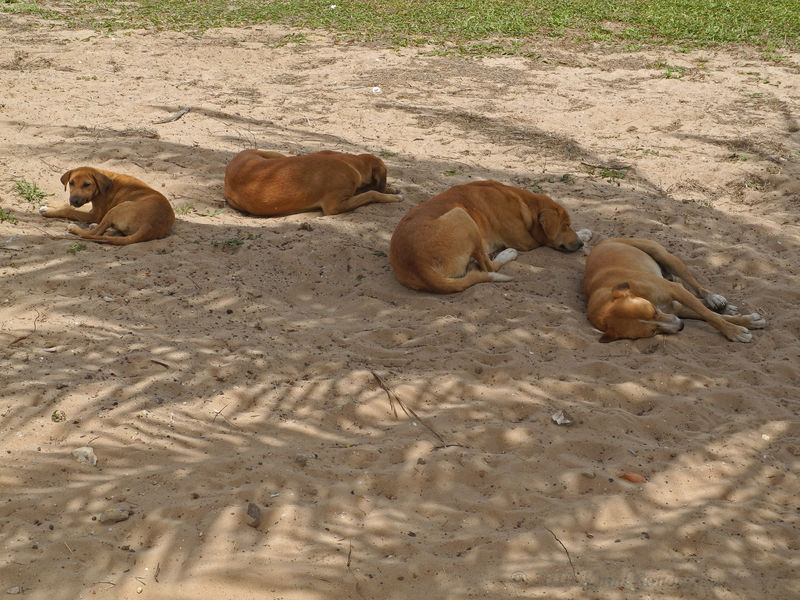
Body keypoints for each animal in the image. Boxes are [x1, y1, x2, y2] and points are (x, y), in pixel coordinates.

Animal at [40, 166, 175, 244]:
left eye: (87, 184)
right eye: (71, 183)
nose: (74, 200)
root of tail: (150, 226)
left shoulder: (95, 214)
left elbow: (69, 211)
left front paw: (48, 211)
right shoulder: (93, 209)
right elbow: (67, 206)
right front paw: (50, 203)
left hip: (119, 208)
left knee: (93, 233)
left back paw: (75, 228)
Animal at [223, 149, 400, 217]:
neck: (350, 163)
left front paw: (392, 190)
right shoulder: (334, 206)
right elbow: (372, 193)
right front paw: (394, 197)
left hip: (278, 156)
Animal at [390, 179, 592, 294]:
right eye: (566, 225)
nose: (580, 244)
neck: (525, 202)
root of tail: (417, 263)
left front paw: (585, 234)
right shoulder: (527, 242)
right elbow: (544, 241)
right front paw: (584, 233)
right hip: (462, 216)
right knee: (488, 266)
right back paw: (507, 254)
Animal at [584, 238, 764, 342]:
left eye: (654, 311)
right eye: (652, 331)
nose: (681, 325)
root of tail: (602, 241)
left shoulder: (674, 291)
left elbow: (711, 316)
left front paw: (735, 330)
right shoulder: (676, 308)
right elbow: (712, 316)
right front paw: (743, 324)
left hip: (666, 257)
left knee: (695, 286)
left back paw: (714, 298)